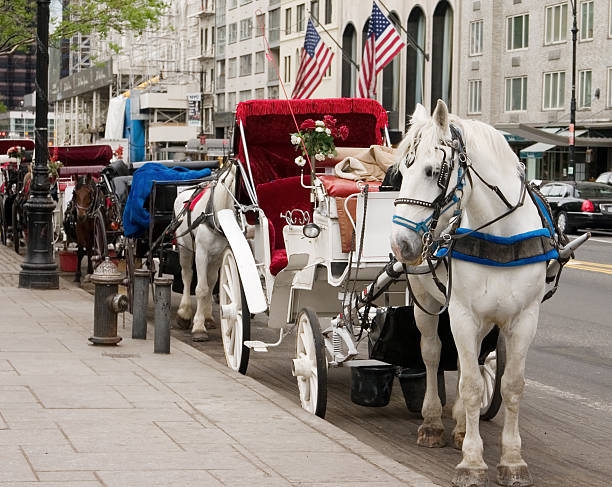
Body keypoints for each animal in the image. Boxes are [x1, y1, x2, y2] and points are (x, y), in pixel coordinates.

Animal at [173, 164, 238, 344]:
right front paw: (198, 328)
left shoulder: (219, 255)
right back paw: (184, 312)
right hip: (185, 249)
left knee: (210, 280)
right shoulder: (201, 252)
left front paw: (205, 319)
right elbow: (201, 288)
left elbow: (211, 284)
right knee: (187, 275)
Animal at [392, 101, 548, 486]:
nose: (400, 244)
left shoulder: (524, 318)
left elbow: (511, 385)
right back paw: (433, 421)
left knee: (472, 362)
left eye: (433, 171)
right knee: (432, 354)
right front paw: (473, 462)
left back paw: (462, 424)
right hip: (426, 304)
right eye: (401, 171)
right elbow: (472, 385)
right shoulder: (462, 313)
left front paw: (512, 460)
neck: (501, 237)